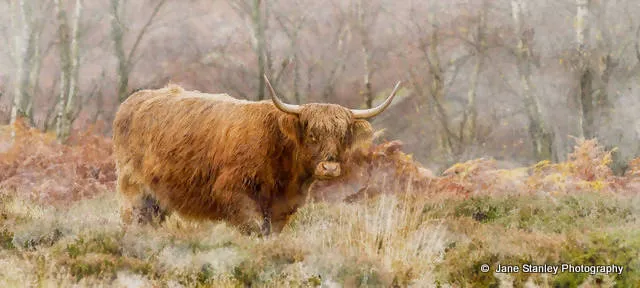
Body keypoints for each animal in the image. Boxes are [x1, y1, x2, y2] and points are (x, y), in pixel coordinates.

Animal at [111, 76, 400, 234]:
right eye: (312, 134)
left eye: (342, 135)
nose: (329, 168)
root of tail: (132, 101)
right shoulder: (235, 195)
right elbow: (255, 231)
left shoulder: (282, 209)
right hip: (133, 193)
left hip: (157, 202)